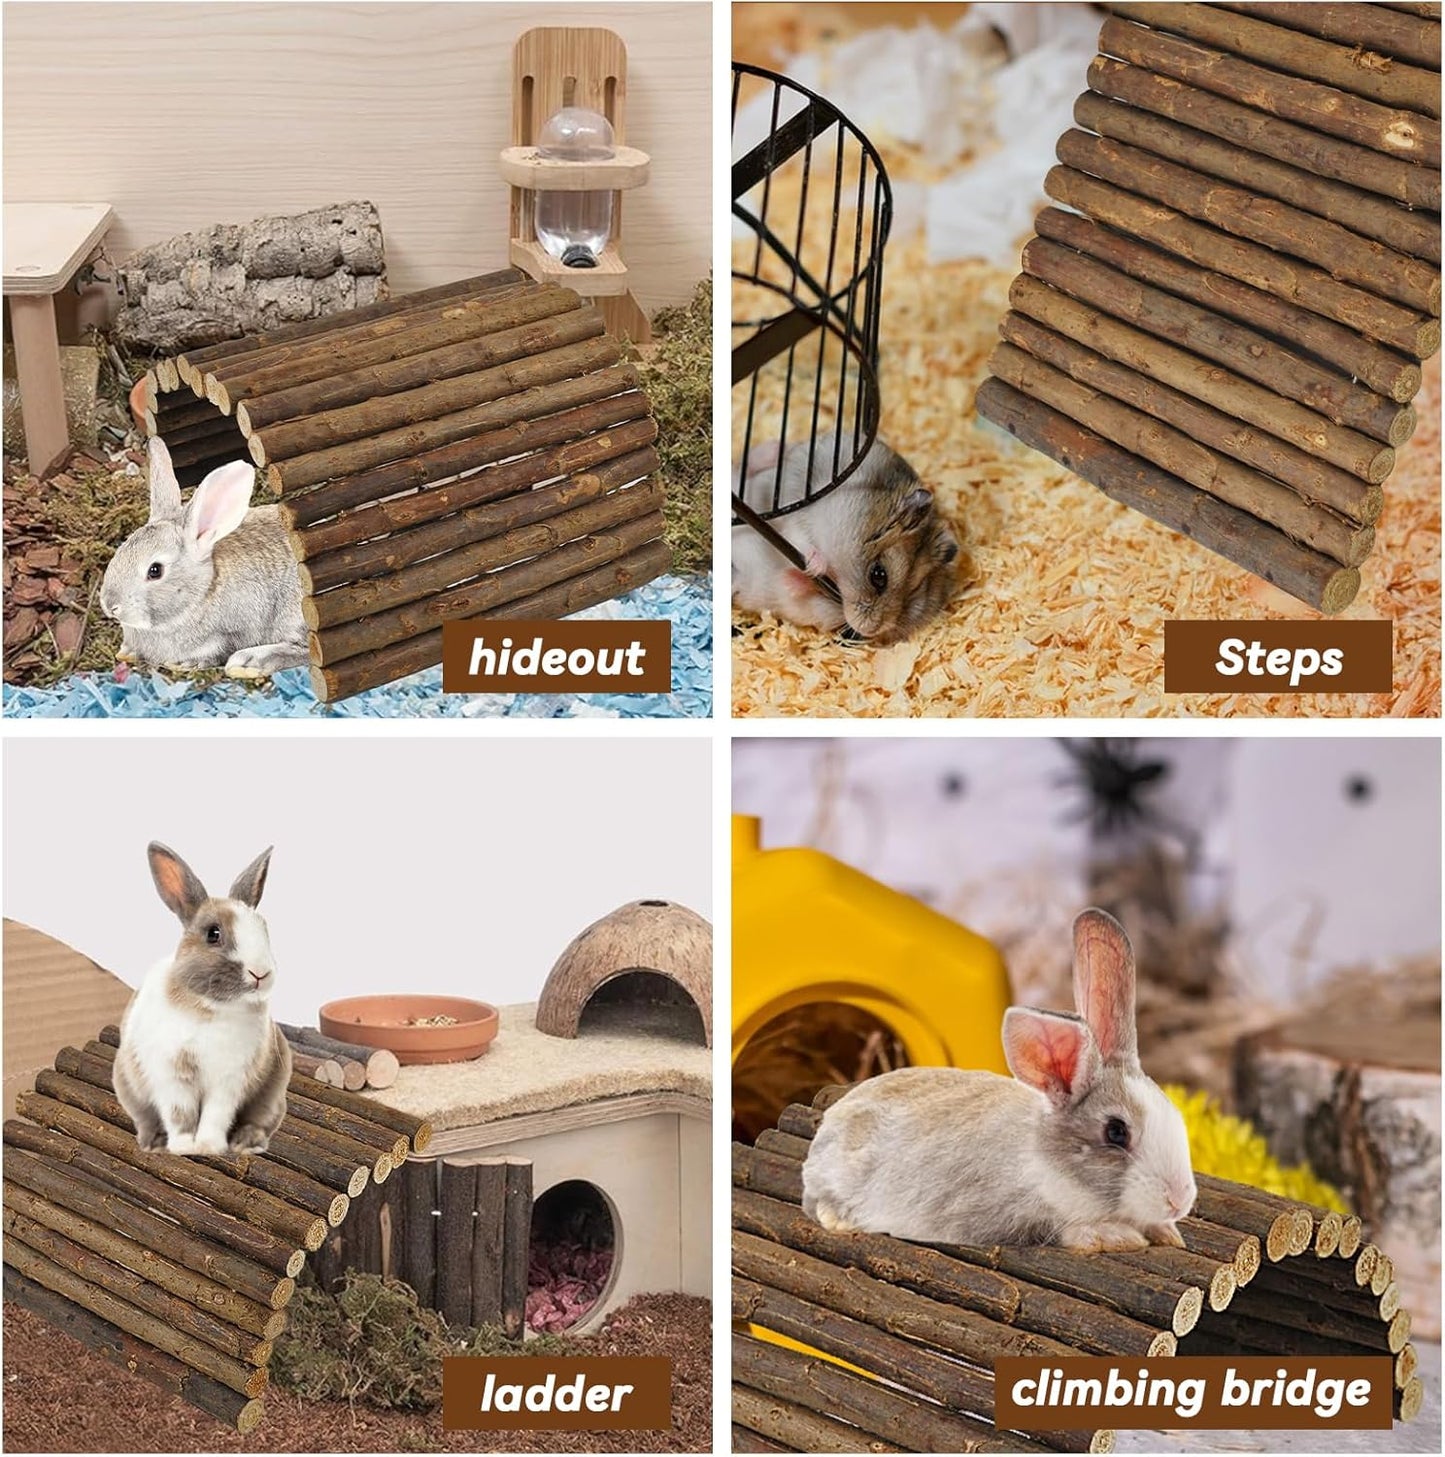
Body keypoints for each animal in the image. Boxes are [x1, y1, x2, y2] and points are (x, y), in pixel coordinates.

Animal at [100, 438, 310, 678]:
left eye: (155, 571)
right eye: (121, 549)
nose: (110, 605)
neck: (202, 594)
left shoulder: (229, 633)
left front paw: (185, 664)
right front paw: (126, 652)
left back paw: (249, 662)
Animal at [112, 842, 292, 1157]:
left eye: (264, 928)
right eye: (213, 934)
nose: (261, 973)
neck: (212, 1007)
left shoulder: (228, 1081)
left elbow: (215, 1114)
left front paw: (209, 1146)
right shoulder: (172, 1075)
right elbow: (180, 1113)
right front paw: (185, 1147)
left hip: (273, 1093)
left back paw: (246, 1143)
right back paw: (153, 1143)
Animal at [732, 430, 959, 644]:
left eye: (914, 592)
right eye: (878, 576)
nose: (870, 630)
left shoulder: (818, 609)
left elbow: (801, 594)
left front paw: (795, 577)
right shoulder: (798, 516)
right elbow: (801, 540)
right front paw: (815, 566)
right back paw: (774, 448)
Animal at [801, 908, 1197, 1252]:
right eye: (1116, 1131)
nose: (1179, 1200)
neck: (1042, 1159)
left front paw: (1166, 1233)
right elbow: (1062, 1230)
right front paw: (1117, 1237)